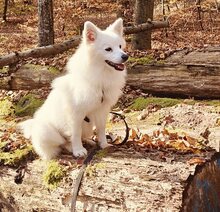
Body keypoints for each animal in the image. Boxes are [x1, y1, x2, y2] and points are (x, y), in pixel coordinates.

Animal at [19, 18, 129, 159]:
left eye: (120, 46)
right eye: (108, 49)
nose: (125, 56)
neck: (100, 77)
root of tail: (33, 127)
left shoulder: (102, 110)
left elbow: (101, 129)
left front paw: (104, 144)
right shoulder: (76, 113)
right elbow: (76, 134)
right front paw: (78, 150)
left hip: (88, 126)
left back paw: (89, 141)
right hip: (48, 132)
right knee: (63, 143)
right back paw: (71, 147)